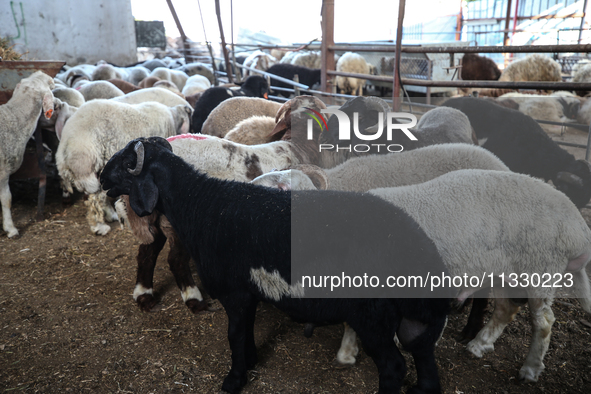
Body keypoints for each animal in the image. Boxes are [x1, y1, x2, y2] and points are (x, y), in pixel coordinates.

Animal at [55, 98, 192, 235]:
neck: (173, 119)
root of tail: (64, 146)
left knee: (101, 194)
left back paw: (111, 215)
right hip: (86, 169)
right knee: (93, 199)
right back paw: (99, 226)